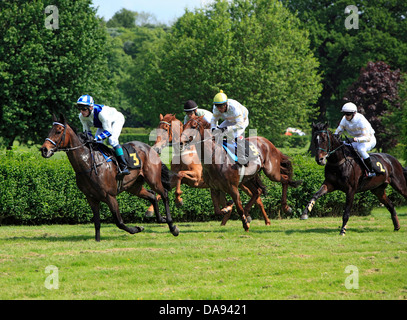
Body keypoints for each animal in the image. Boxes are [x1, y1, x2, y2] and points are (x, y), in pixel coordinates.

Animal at [40, 114, 179, 241]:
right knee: (152, 196)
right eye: (50, 131)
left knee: (164, 194)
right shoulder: (91, 198)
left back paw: (172, 226)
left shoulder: (110, 196)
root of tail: (151, 148)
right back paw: (161, 218)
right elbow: (97, 222)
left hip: (153, 179)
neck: (89, 164)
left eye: (58, 131)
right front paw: (97, 241)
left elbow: (119, 222)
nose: (44, 149)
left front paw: (137, 228)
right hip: (133, 186)